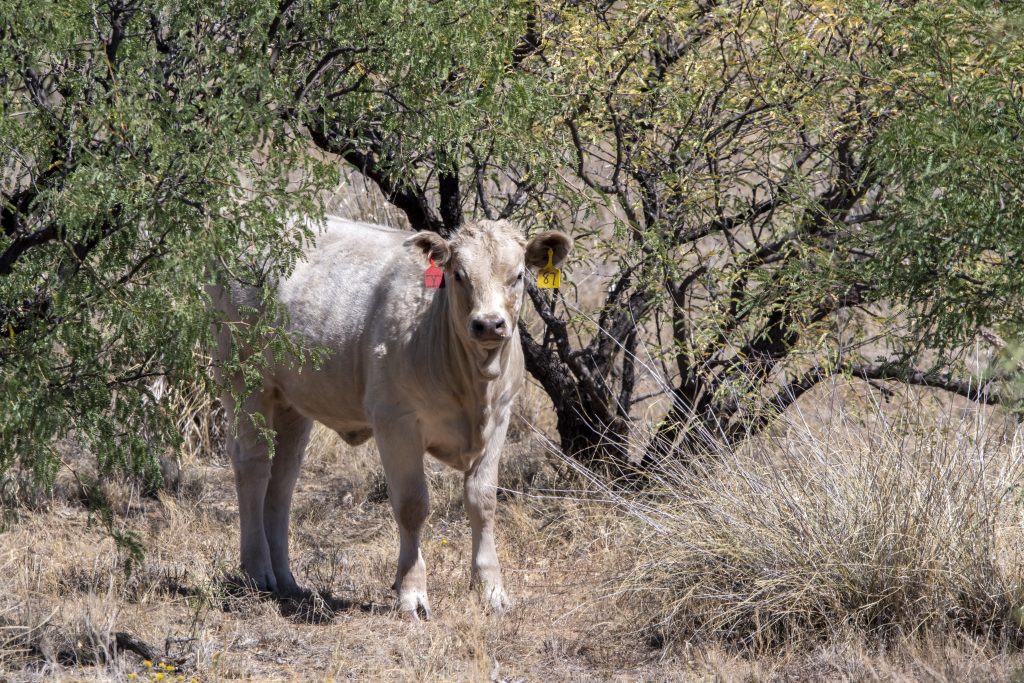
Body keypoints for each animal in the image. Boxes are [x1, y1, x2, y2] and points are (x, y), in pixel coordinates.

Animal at [210, 216, 572, 619]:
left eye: (519, 275)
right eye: (458, 274)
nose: (489, 324)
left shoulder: (500, 418)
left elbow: (483, 500)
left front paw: (491, 591)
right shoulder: (394, 420)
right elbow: (412, 506)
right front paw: (412, 593)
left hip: (293, 400)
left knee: (283, 477)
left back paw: (287, 580)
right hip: (243, 380)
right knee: (253, 468)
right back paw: (258, 572)